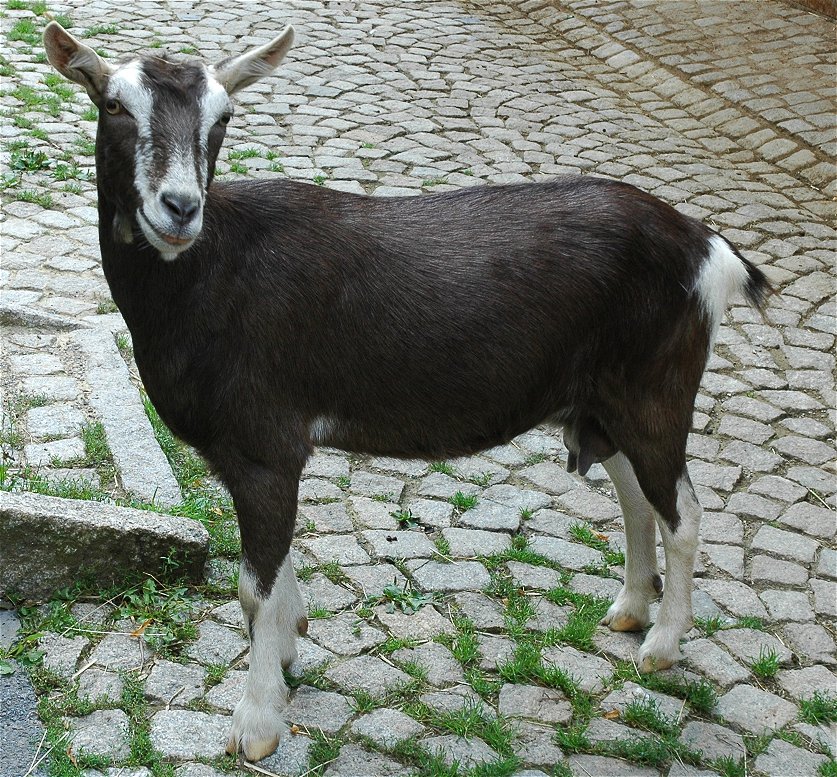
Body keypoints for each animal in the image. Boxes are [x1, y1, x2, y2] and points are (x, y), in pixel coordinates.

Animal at [45, 22, 770, 761]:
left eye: (223, 117)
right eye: (113, 105)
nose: (180, 208)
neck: (208, 275)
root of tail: (707, 249)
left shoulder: (265, 448)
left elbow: (254, 587)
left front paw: (257, 724)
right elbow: (271, 577)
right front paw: (290, 645)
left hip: (656, 390)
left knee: (684, 511)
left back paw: (662, 643)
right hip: (598, 401)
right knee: (635, 497)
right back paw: (628, 610)